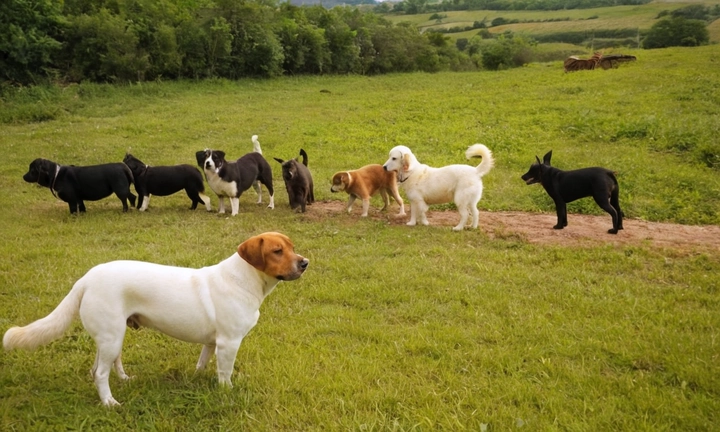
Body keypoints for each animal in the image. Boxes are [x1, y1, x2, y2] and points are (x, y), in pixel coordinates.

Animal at [4, 233, 310, 404]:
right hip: (112, 336)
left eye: (292, 247)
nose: (305, 263)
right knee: (100, 373)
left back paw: (125, 380)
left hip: (113, 335)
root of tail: (86, 279)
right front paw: (227, 393)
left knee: (102, 366)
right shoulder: (229, 343)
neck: (245, 280)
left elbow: (202, 363)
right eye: (277, 251)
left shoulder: (212, 343)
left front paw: (197, 379)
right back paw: (109, 403)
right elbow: (225, 373)